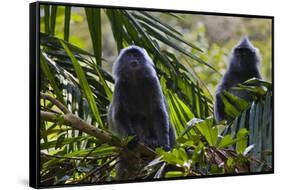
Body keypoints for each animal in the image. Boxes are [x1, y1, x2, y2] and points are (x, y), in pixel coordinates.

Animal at [107, 45, 175, 179]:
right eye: (129, 55)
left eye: (137, 55)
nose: (134, 59)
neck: (135, 79)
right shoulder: (120, 86)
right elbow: (119, 114)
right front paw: (131, 138)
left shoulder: (153, 82)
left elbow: (159, 112)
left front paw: (164, 145)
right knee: (138, 117)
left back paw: (152, 142)